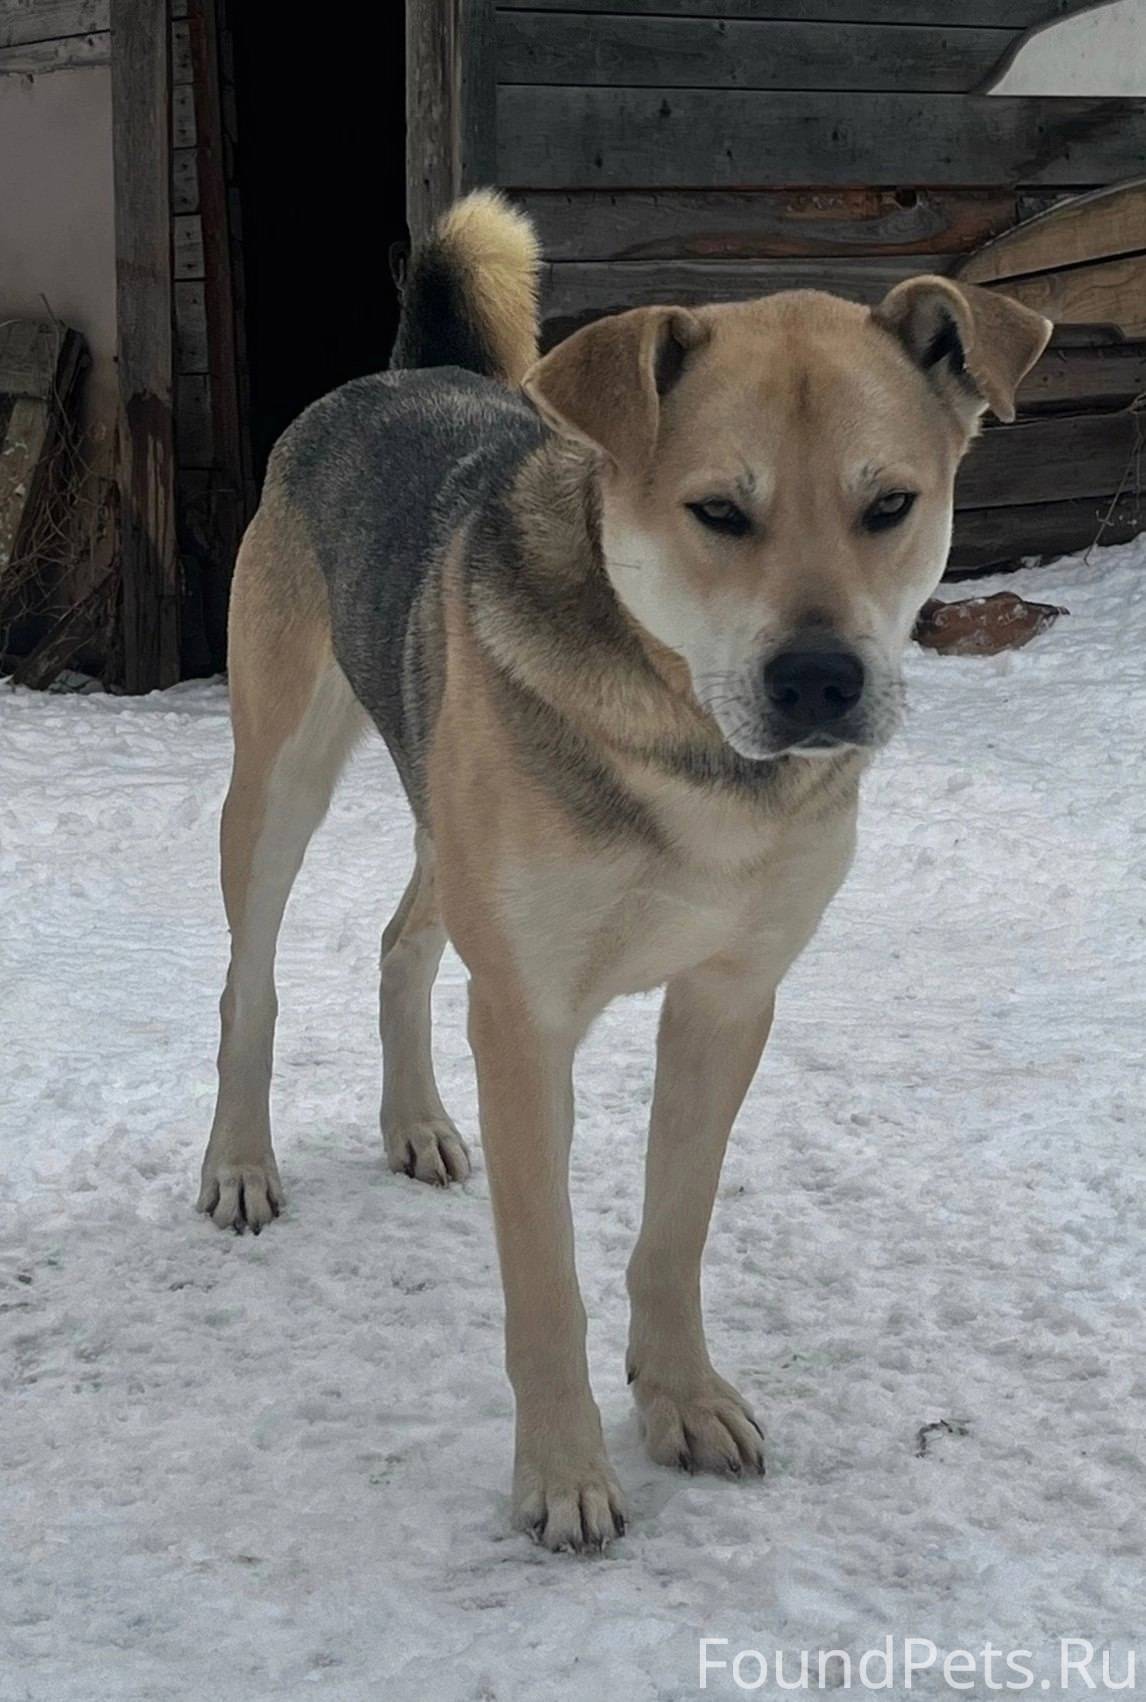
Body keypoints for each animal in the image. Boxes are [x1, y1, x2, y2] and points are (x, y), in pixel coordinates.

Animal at [197, 191, 1051, 1551]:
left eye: (890, 504)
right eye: (718, 512)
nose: (821, 683)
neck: (690, 743)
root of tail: (390, 375)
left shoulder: (729, 997)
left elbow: (674, 1229)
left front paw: (684, 1399)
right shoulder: (528, 1015)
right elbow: (547, 1278)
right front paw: (562, 1472)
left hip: (442, 804)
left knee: (402, 944)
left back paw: (416, 1123)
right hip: (278, 774)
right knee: (251, 980)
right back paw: (238, 1163)